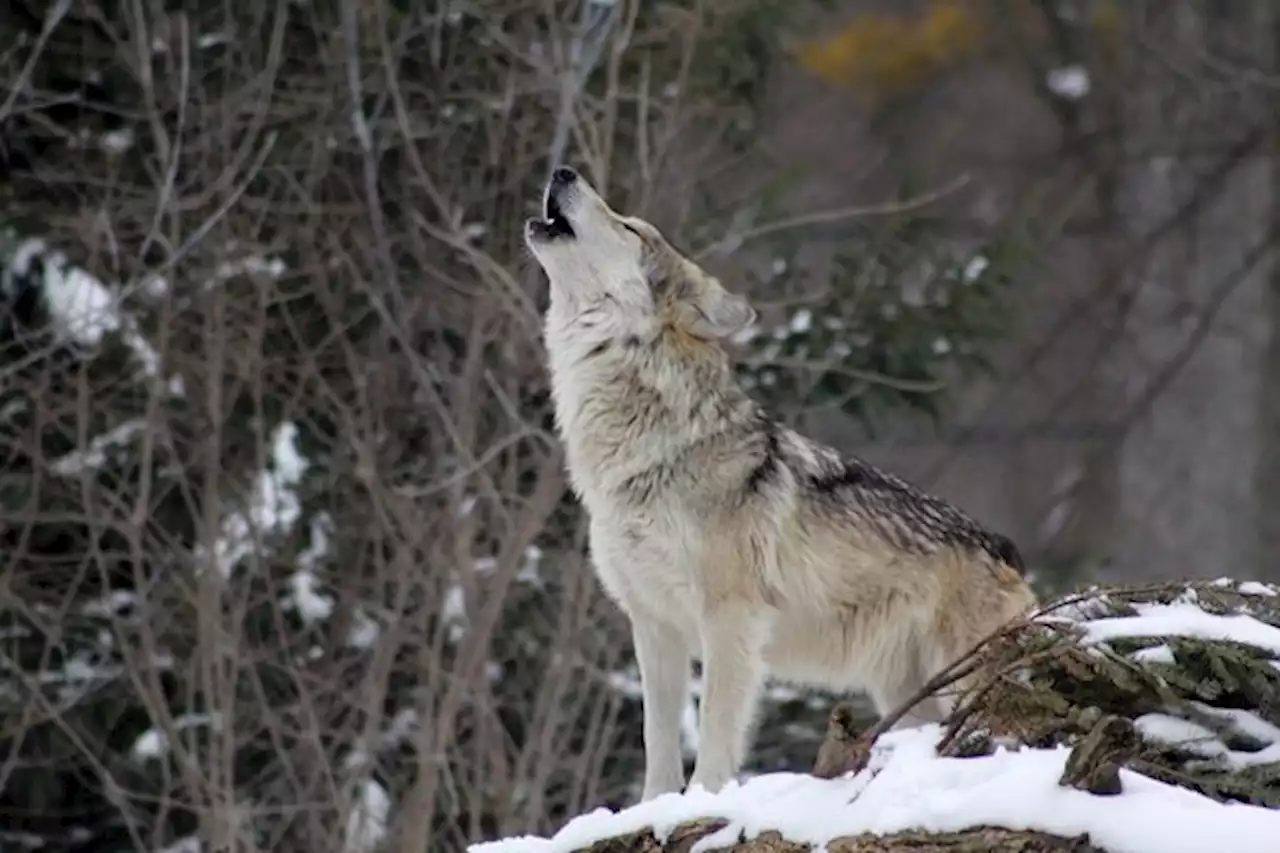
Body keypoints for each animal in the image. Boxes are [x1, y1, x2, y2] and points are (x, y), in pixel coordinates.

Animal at [524, 163, 1034, 799]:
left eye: (629, 227)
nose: (563, 170)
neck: (647, 452)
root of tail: (1007, 550)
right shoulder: (654, 625)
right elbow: (657, 742)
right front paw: (654, 807)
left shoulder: (730, 619)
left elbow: (716, 731)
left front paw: (702, 801)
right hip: (905, 695)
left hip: (958, 678)